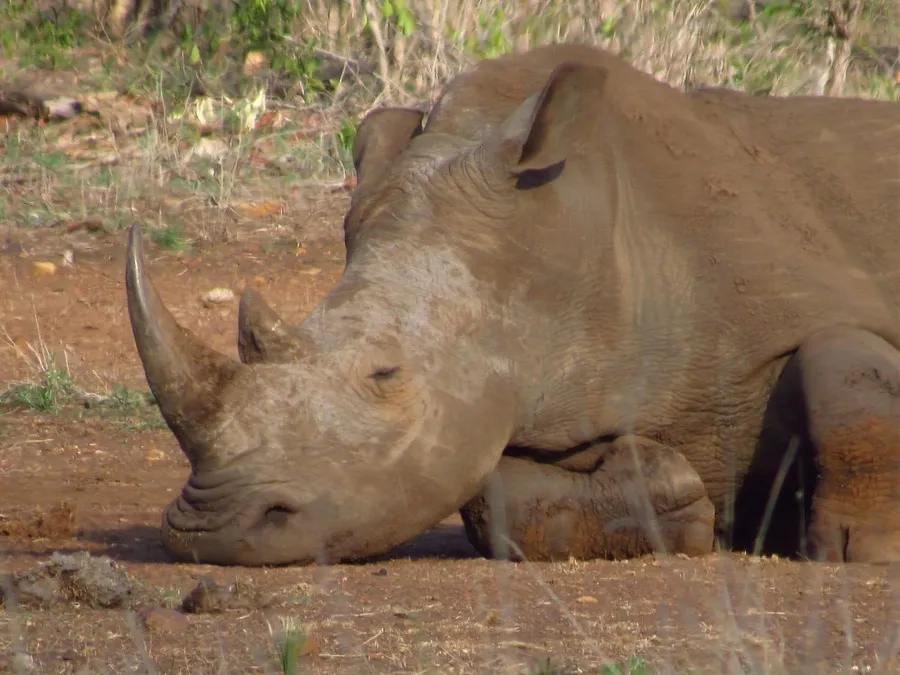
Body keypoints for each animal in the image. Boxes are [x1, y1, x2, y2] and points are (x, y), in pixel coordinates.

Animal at [125, 43, 900, 567]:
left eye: (384, 374)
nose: (209, 531)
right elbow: (491, 497)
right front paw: (675, 499)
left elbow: (843, 368)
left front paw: (865, 547)